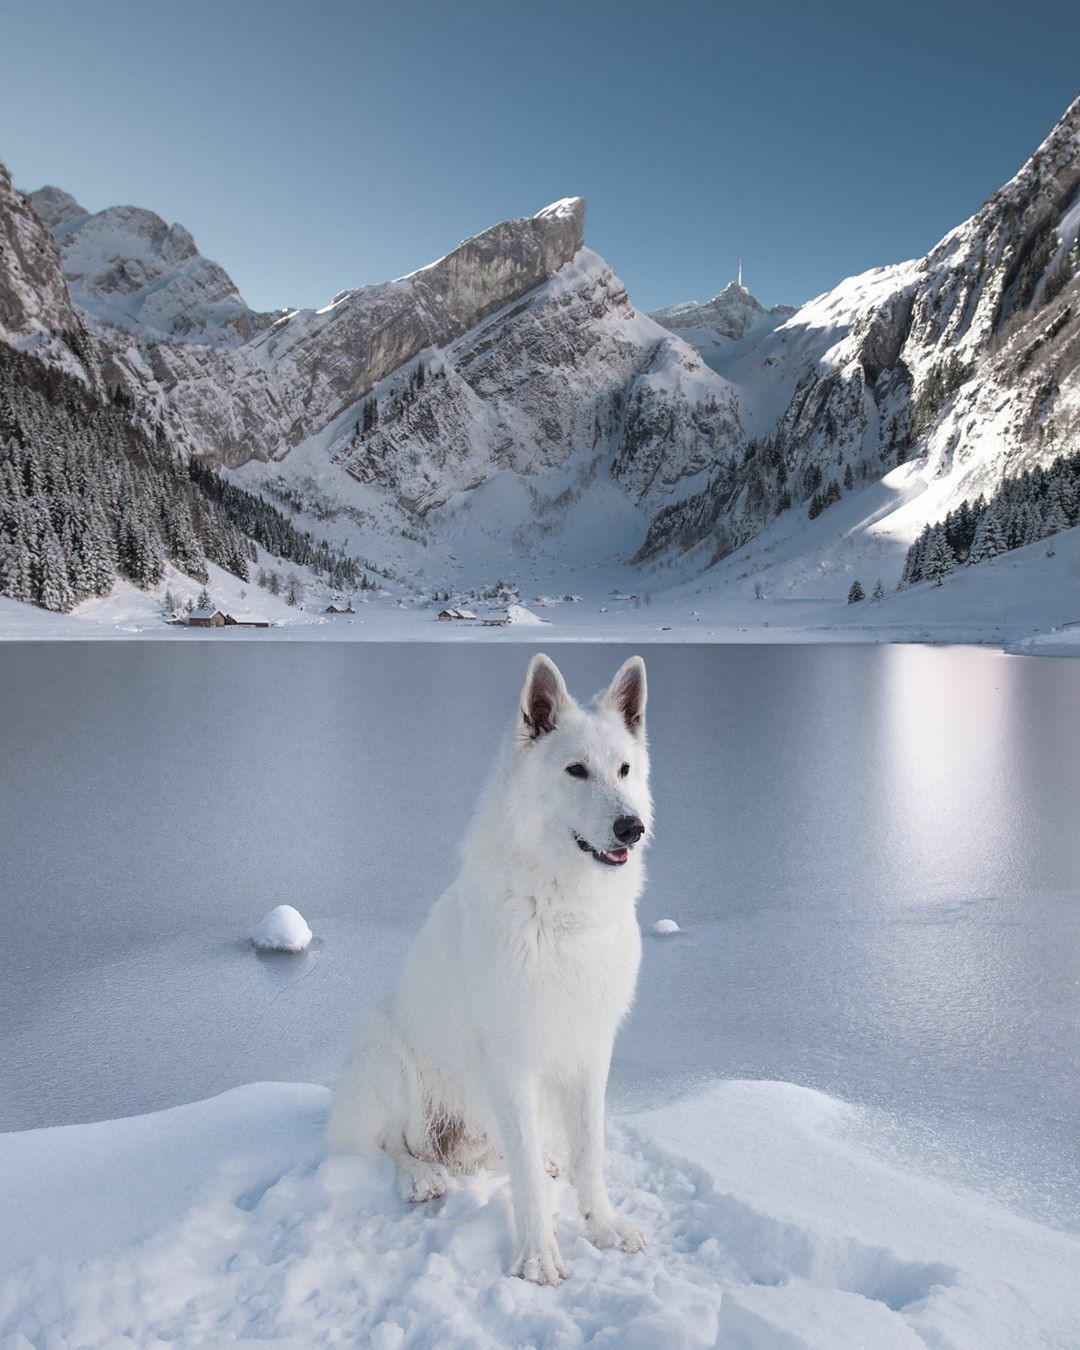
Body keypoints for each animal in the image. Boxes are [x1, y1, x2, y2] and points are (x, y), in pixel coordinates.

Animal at [329, 653, 650, 1285]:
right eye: (576, 770)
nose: (632, 827)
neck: (561, 912)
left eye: (624, 770)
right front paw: (537, 1256)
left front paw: (603, 1225)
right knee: (388, 1144)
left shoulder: (588, 1051)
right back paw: (421, 1175)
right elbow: (524, 1182)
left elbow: (590, 1153)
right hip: (385, 1052)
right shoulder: (511, 1059)